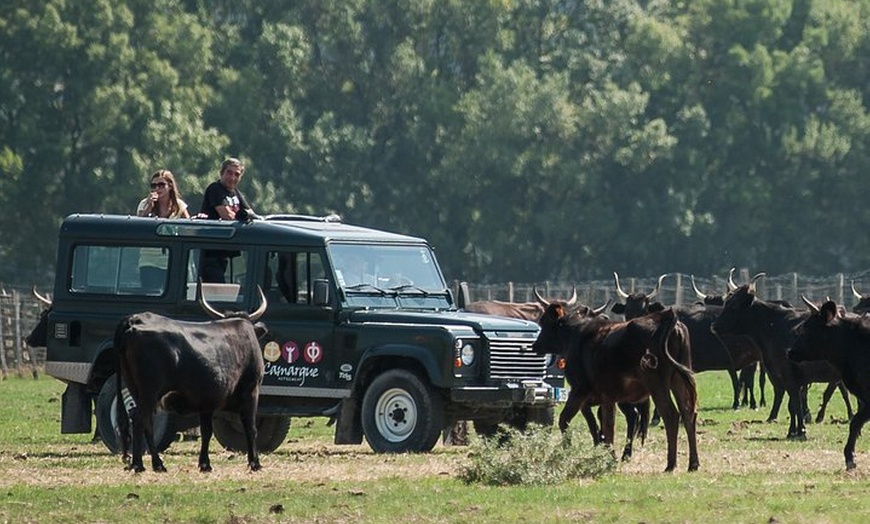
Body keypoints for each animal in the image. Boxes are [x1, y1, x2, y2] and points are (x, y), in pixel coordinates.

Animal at [116, 280, 268, 472]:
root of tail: (134, 320)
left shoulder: (208, 401)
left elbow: (207, 431)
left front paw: (205, 464)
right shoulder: (251, 390)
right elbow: (250, 427)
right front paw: (255, 462)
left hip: (137, 389)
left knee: (147, 423)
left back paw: (158, 464)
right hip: (150, 391)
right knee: (139, 420)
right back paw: (138, 464)